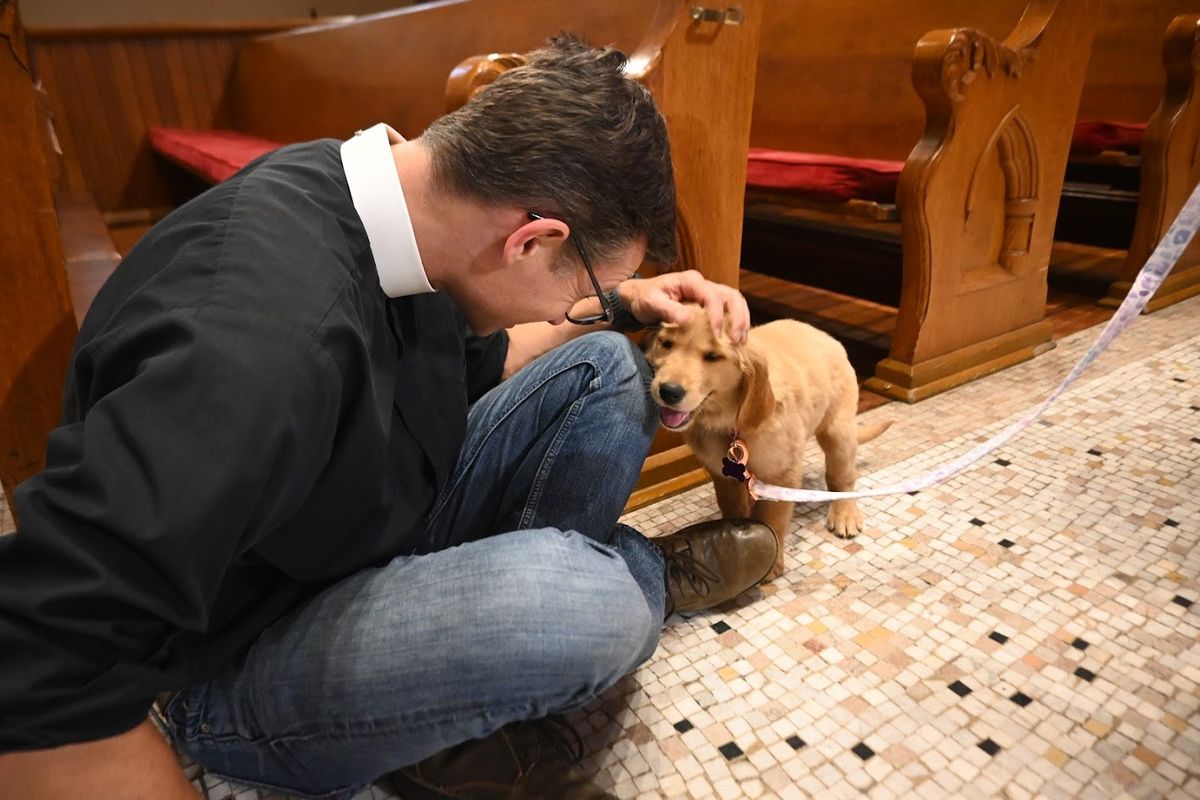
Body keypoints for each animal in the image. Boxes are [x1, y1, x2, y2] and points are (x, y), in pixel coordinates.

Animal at [648, 303, 892, 578]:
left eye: (712, 356)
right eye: (666, 344)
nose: (668, 391)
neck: (730, 422)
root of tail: (829, 338)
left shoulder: (782, 473)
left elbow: (771, 518)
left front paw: (771, 563)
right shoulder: (723, 474)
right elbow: (732, 506)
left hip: (839, 432)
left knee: (842, 477)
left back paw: (845, 514)